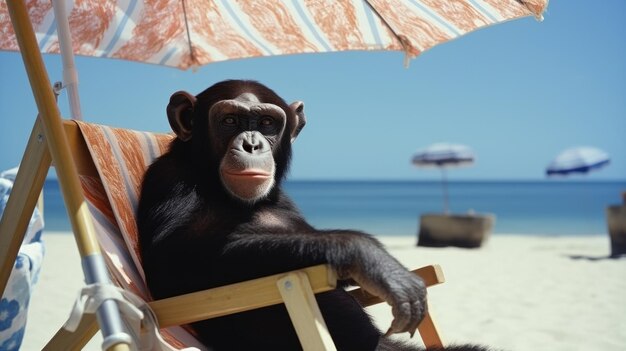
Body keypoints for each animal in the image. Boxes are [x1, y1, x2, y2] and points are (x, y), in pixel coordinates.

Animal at [139, 80, 490, 351]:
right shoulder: (169, 181)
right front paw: (367, 254)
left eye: (266, 123)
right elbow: (183, 259)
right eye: (229, 120)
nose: (251, 145)